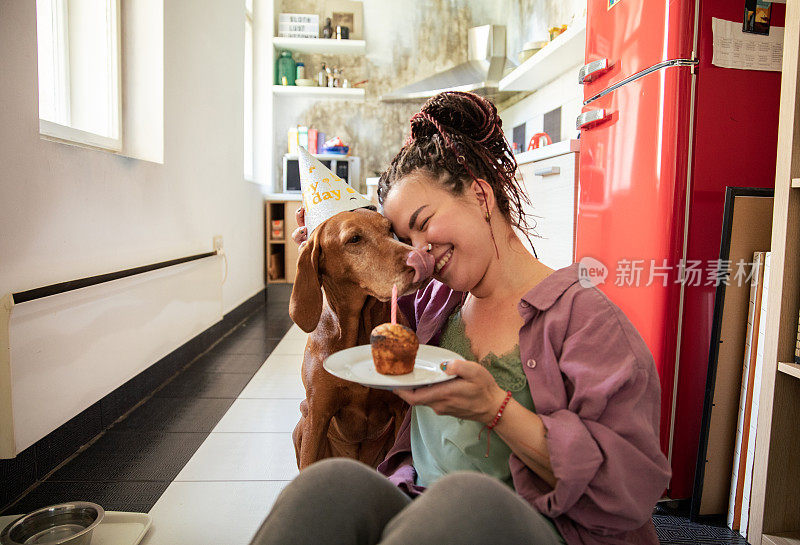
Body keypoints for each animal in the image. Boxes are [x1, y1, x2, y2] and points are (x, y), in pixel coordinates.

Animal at [286, 208, 424, 468]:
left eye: (389, 228)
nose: (420, 259)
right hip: (301, 425)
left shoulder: (399, 409)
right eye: (354, 239)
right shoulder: (317, 415)